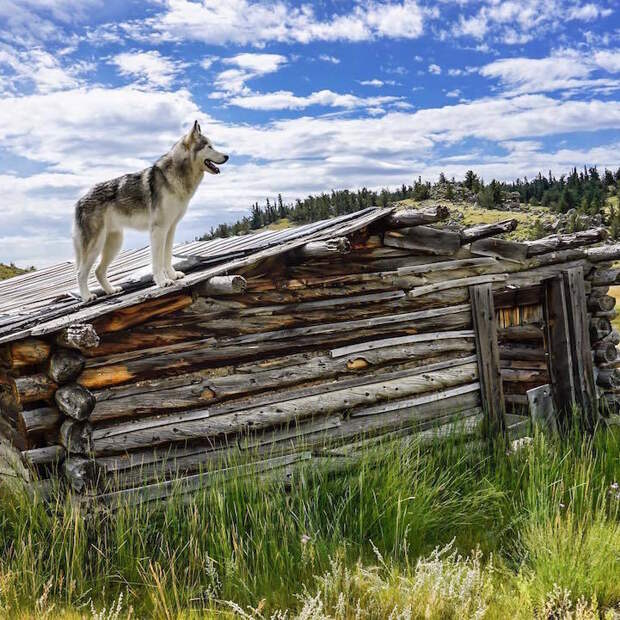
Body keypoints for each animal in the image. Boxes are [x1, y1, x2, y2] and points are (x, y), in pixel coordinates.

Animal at [72, 120, 228, 300]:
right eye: (209, 146)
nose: (227, 156)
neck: (175, 176)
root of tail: (79, 201)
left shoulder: (170, 229)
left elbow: (167, 257)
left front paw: (173, 276)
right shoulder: (158, 230)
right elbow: (157, 261)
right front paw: (163, 282)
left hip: (114, 243)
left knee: (98, 271)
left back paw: (111, 291)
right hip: (96, 246)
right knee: (80, 273)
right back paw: (87, 297)